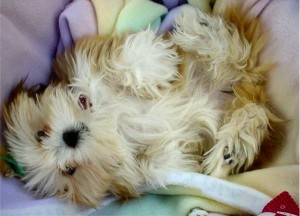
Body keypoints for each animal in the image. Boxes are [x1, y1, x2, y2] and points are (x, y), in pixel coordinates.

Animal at [0, 5, 282, 206]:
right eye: (69, 170)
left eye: (41, 133)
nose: (69, 137)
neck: (104, 120)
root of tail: (246, 89)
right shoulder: (133, 172)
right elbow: (153, 165)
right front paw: (182, 160)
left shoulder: (86, 58)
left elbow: (126, 60)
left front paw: (153, 66)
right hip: (246, 108)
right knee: (251, 116)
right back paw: (231, 150)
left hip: (222, 66)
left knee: (232, 52)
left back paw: (202, 29)